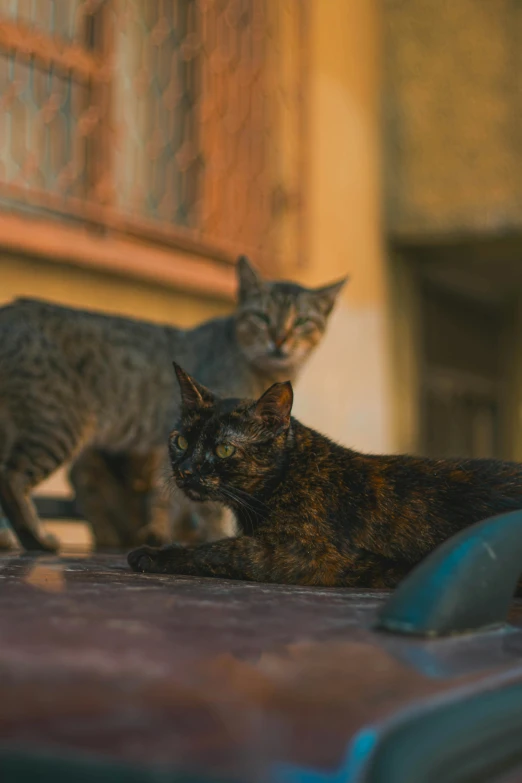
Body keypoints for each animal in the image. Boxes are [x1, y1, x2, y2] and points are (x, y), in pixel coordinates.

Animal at [0, 258, 346, 552]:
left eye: (301, 322)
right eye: (261, 317)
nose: (280, 340)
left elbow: (175, 497)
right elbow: (202, 501)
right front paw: (210, 534)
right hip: (57, 426)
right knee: (12, 479)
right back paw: (36, 539)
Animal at [128, 368, 520, 588]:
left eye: (224, 450)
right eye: (181, 441)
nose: (186, 470)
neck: (291, 474)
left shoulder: (307, 554)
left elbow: (222, 549)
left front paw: (155, 554)